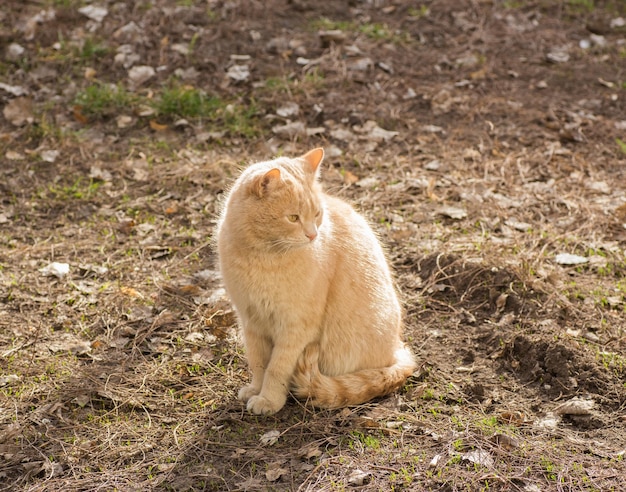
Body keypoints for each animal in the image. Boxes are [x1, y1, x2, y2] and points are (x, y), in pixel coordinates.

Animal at [214, 147, 414, 416]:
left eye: (317, 214)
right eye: (293, 218)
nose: (312, 235)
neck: (262, 257)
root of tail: (396, 350)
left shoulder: (296, 327)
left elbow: (276, 368)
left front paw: (269, 400)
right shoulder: (251, 320)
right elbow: (258, 362)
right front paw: (256, 389)